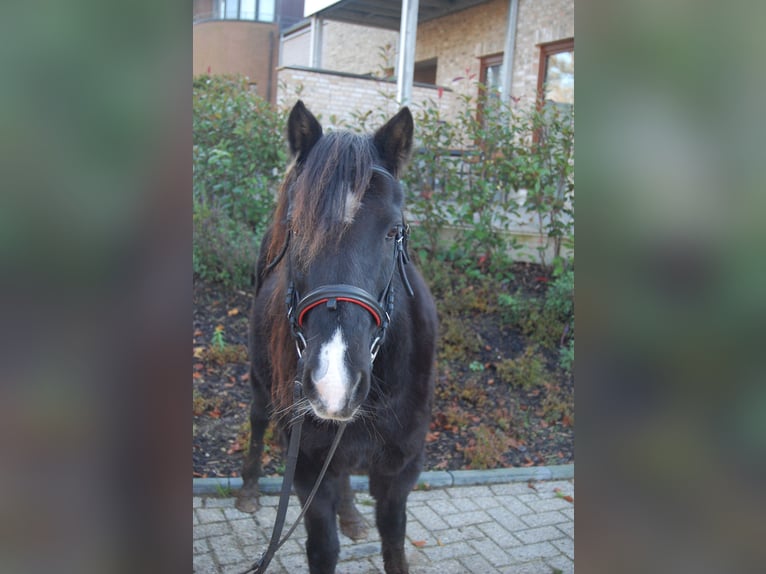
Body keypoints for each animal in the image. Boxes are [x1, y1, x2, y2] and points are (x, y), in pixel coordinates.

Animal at [234, 103, 438, 574]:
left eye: (393, 230)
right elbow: (323, 548)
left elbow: (394, 545)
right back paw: (250, 490)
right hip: (258, 380)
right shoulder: (309, 469)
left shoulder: (400, 473)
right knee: (256, 419)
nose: (334, 381)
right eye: (297, 228)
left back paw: (351, 514)